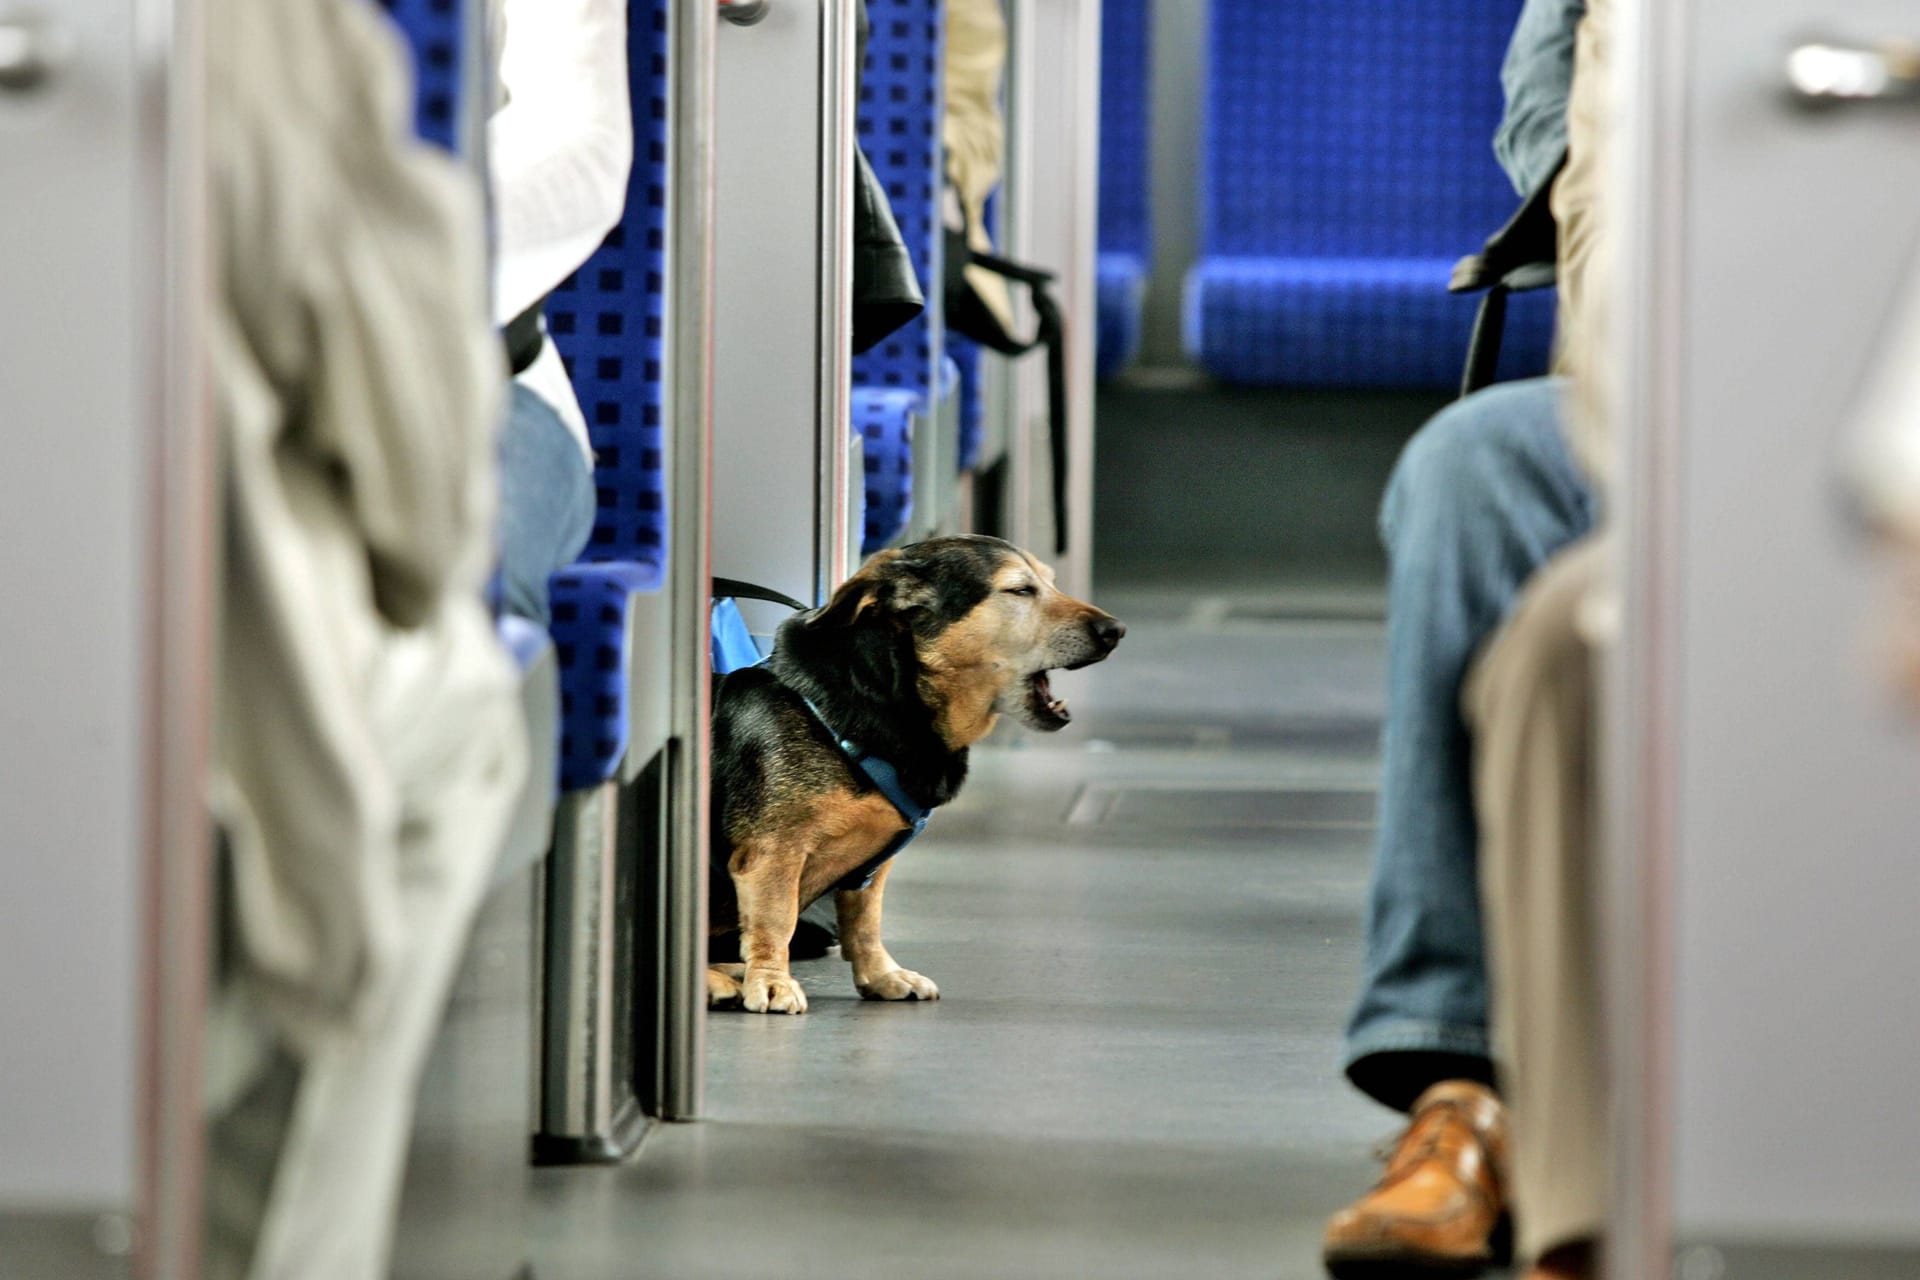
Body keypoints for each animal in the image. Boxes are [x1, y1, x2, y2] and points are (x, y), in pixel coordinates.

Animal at [706, 533, 1121, 1013]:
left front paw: (882, 976)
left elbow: (865, 923)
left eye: (1051, 582)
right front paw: (772, 981)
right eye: (1020, 590)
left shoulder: (872, 870)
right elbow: (777, 919)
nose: (1115, 631)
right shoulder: (772, 853)